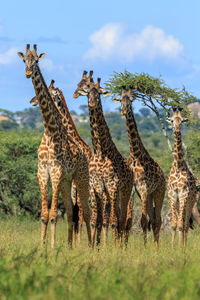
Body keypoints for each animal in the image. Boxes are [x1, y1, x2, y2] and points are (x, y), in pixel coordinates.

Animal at [17, 44, 91, 246]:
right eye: (24, 60)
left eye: (36, 61)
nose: (27, 72)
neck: (50, 131)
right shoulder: (43, 172)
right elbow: (43, 215)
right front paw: (42, 246)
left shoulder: (56, 172)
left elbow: (52, 215)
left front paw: (51, 247)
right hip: (67, 181)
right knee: (72, 212)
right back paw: (70, 246)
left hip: (81, 179)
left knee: (86, 212)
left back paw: (91, 246)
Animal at [72, 71, 134, 247]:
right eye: (85, 87)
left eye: (98, 91)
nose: (92, 103)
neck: (100, 151)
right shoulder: (97, 185)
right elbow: (96, 219)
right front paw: (95, 246)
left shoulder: (112, 185)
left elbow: (113, 220)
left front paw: (111, 248)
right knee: (115, 217)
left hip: (125, 191)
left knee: (122, 218)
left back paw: (120, 246)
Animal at [112, 87, 166, 248]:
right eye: (120, 99)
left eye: (130, 100)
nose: (124, 110)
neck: (135, 155)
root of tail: (164, 176)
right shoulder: (133, 189)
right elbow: (129, 220)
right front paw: (124, 246)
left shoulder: (143, 187)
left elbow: (142, 221)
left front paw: (144, 248)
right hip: (149, 196)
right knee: (153, 219)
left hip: (159, 192)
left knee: (157, 220)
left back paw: (156, 248)